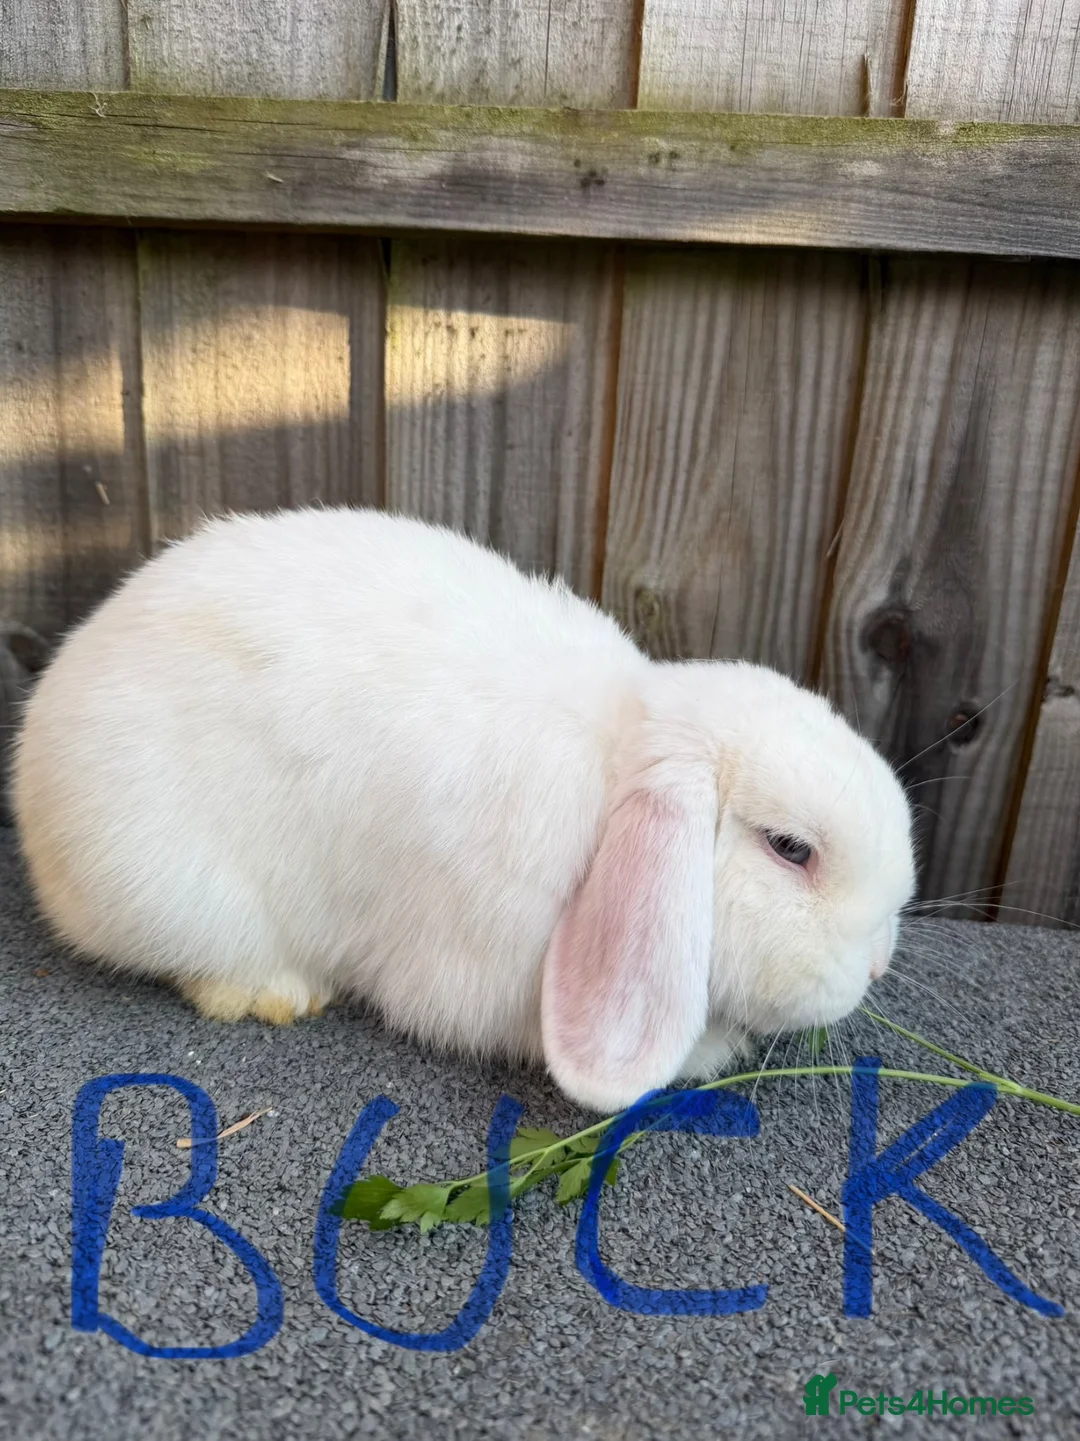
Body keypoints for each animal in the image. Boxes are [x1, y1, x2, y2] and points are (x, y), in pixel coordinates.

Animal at [10, 507, 915, 1113]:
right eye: (790, 847)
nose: (876, 966)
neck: (615, 770)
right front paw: (713, 1049)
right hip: (172, 891)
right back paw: (275, 993)